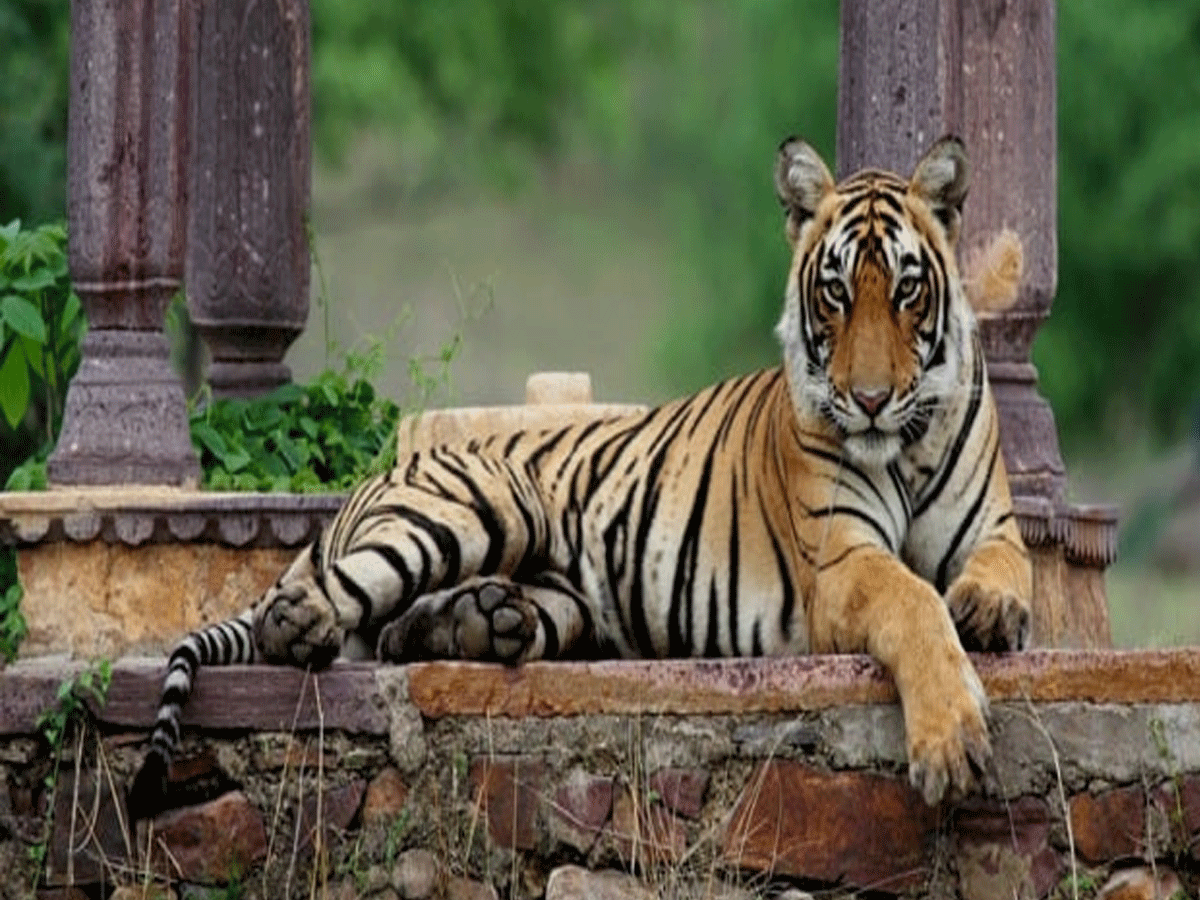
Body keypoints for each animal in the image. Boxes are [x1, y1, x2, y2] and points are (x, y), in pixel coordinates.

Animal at [131, 135, 1031, 816]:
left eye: (908, 291)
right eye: (837, 293)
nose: (870, 400)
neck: (906, 446)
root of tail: (382, 472)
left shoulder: (993, 528)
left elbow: (1001, 572)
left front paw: (990, 612)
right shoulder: (842, 562)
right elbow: (913, 604)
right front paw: (953, 743)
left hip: (562, 599)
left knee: (399, 631)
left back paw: (479, 625)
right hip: (477, 510)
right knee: (317, 608)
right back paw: (309, 626)